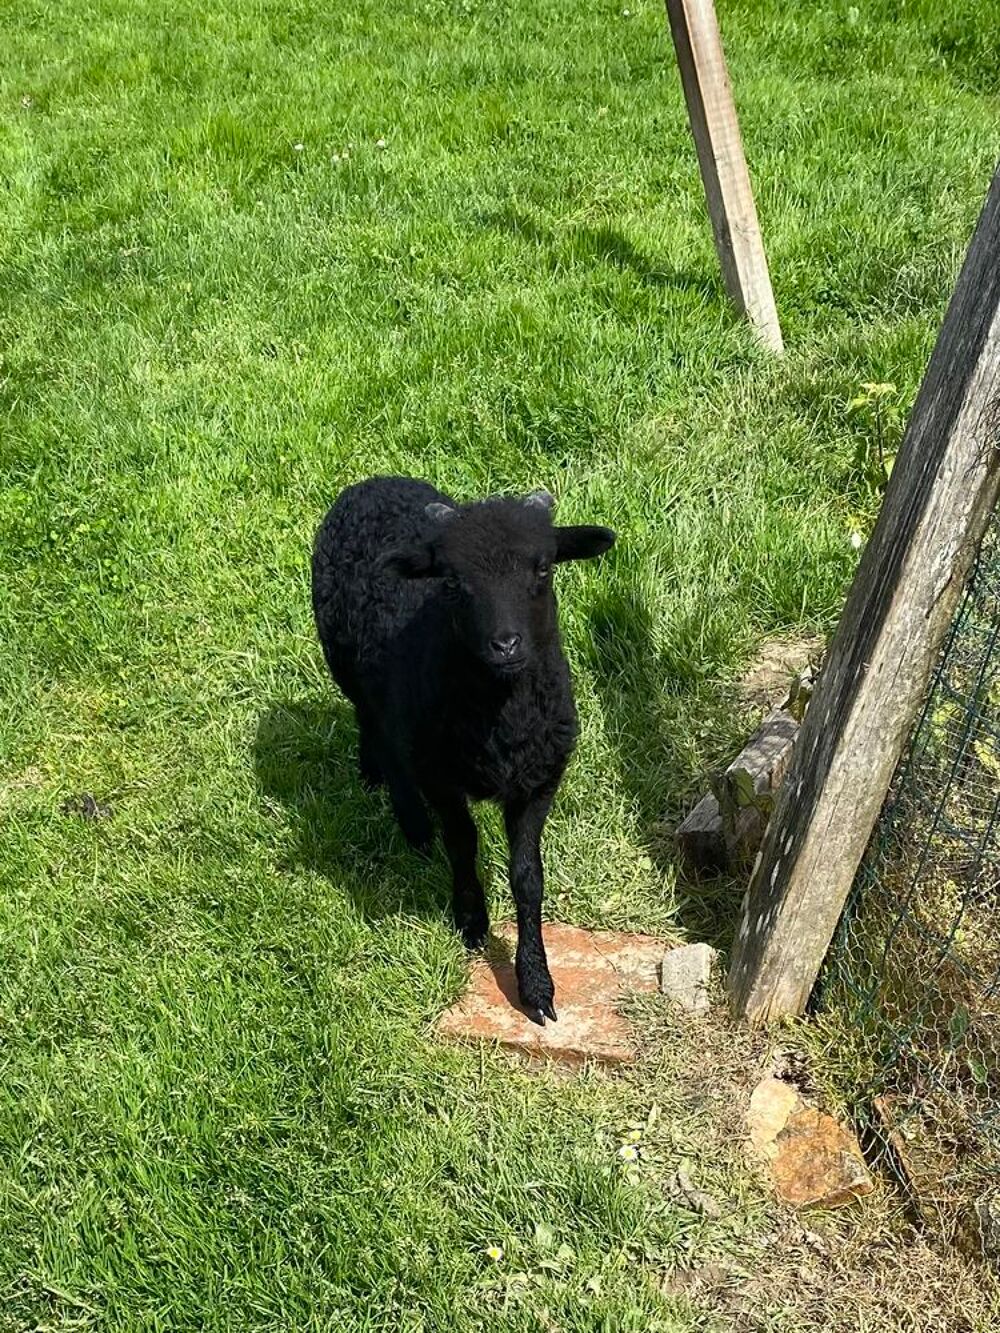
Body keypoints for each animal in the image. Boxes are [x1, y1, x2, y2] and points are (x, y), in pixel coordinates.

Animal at [311, 476, 615, 1024]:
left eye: (543, 567)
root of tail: (375, 482)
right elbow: (462, 843)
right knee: (379, 732)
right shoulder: (440, 775)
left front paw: (535, 983)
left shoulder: (538, 781)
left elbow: (528, 876)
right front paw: (471, 919)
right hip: (351, 672)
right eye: (452, 583)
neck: (505, 713)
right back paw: (406, 817)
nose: (506, 644)